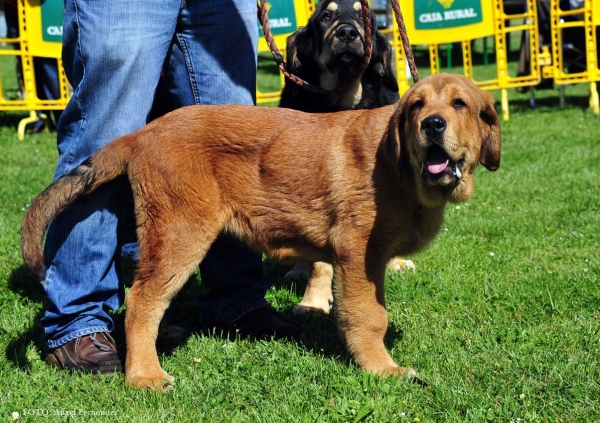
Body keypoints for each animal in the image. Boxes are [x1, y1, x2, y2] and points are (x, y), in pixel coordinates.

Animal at [22, 73, 502, 390]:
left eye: (459, 104)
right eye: (417, 106)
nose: (432, 125)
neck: (400, 166)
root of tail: (144, 132)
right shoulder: (358, 254)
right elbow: (369, 316)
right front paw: (382, 369)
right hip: (180, 231)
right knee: (142, 301)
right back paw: (144, 374)